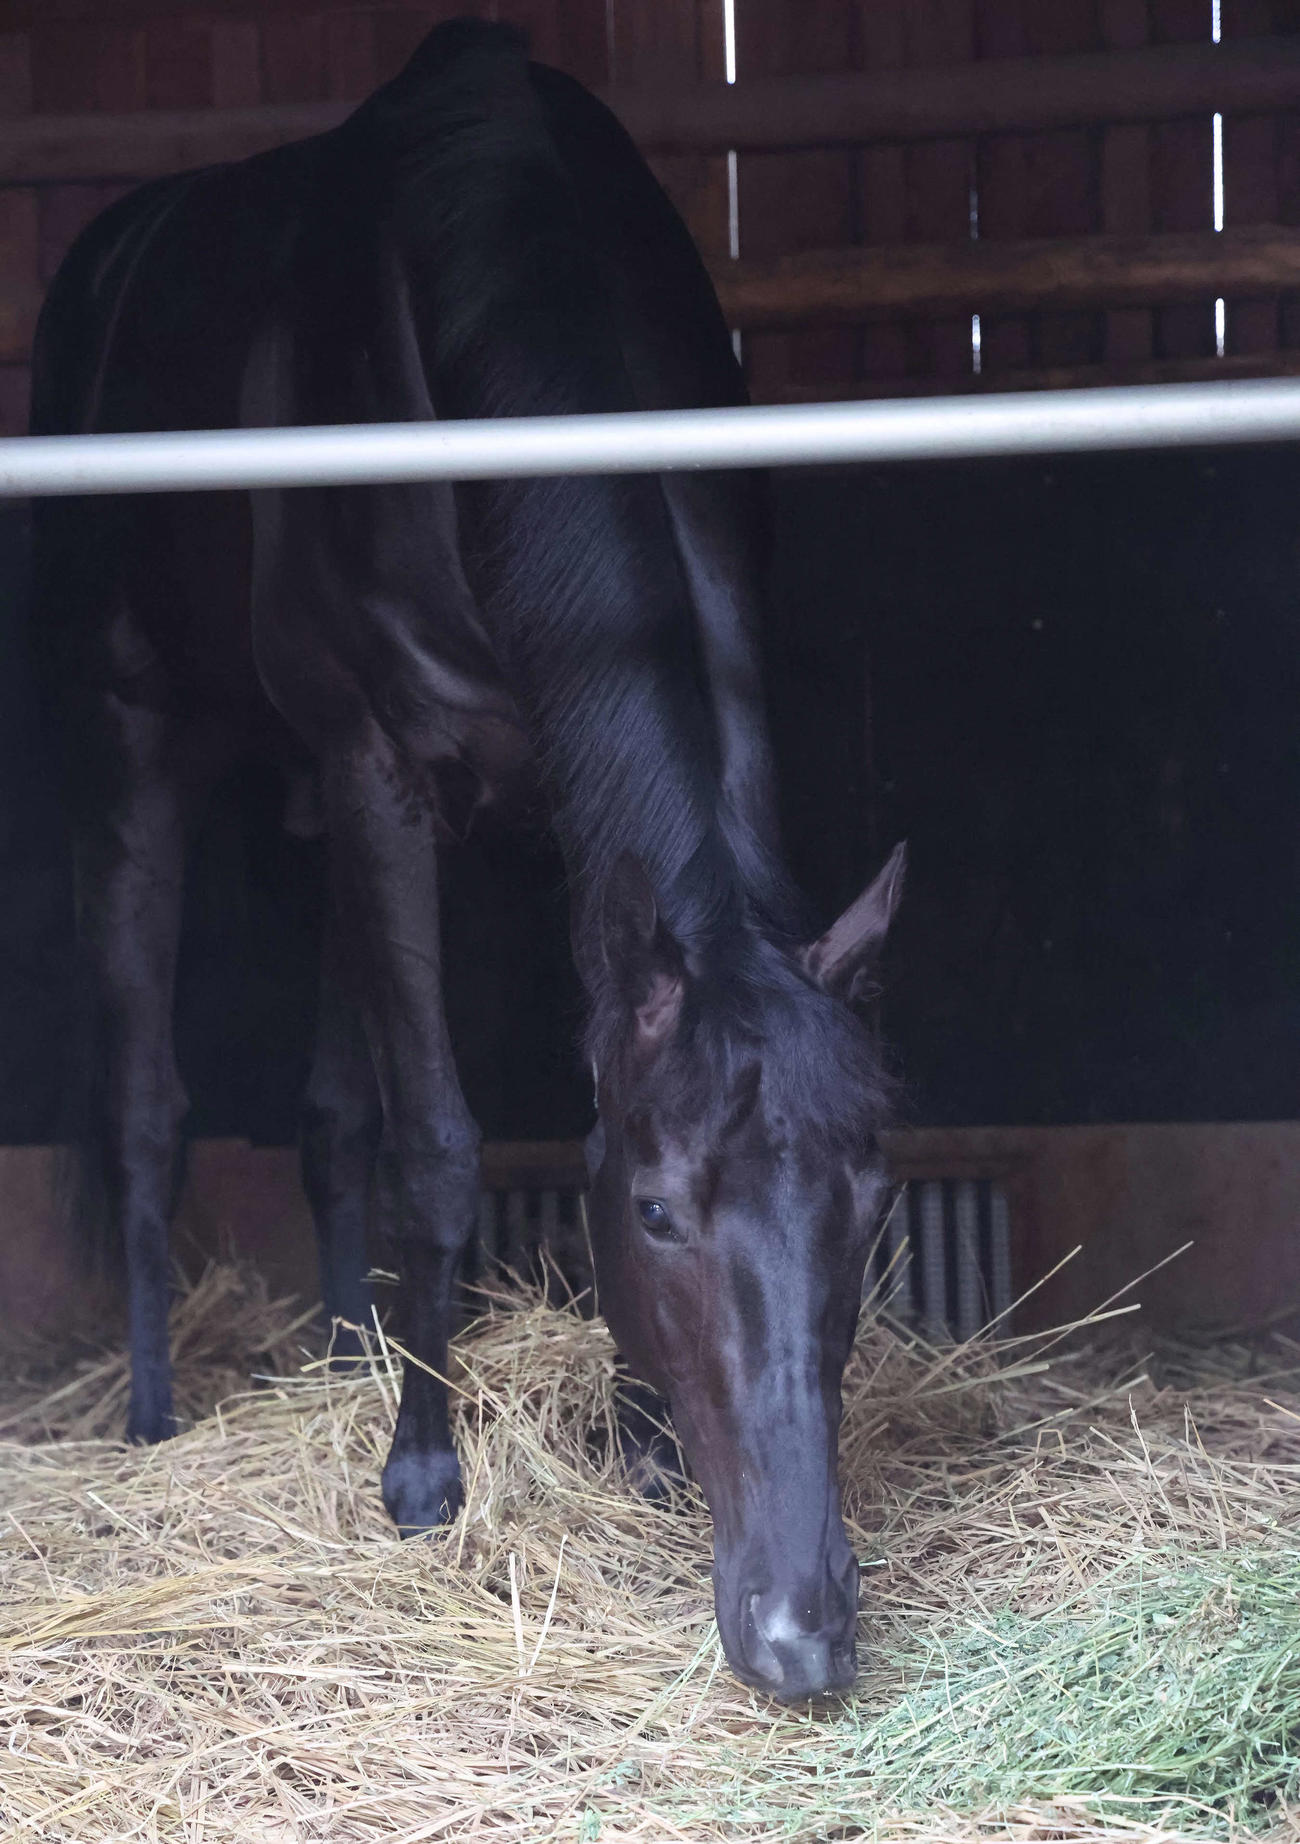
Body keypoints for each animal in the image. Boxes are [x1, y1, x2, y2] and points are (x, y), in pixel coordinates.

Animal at [30, 19, 904, 1701]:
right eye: (658, 1218)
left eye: (873, 1199)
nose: (800, 1631)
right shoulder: (383, 766)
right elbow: (440, 1146)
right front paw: (422, 1474)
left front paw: (638, 1446)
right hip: (135, 752)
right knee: (147, 1108)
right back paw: (160, 1413)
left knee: (321, 1109)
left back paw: (339, 1354)